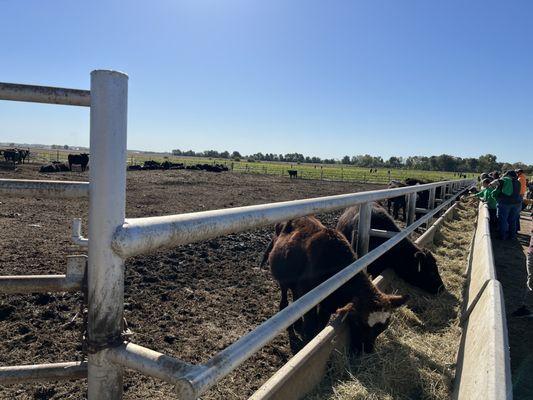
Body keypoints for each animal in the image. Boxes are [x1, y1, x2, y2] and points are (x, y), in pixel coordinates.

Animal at [260, 216, 406, 354]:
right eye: (359, 323)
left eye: (383, 327)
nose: (367, 350)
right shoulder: (308, 296)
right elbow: (310, 326)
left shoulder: (328, 304)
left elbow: (321, 324)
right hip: (283, 278)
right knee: (285, 296)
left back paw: (297, 324)